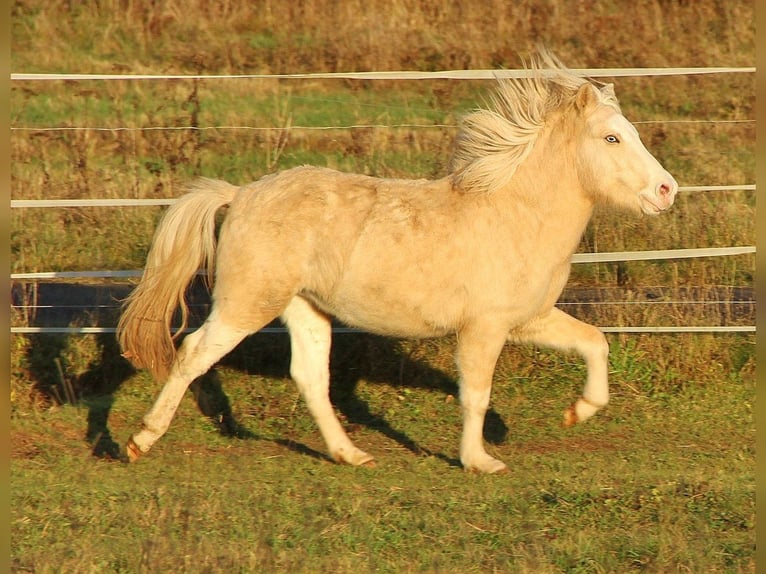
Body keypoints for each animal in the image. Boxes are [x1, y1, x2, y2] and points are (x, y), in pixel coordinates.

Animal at [117, 50, 677, 474]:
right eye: (612, 137)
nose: (666, 190)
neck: (514, 214)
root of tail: (239, 195)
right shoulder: (484, 328)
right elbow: (475, 393)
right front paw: (479, 461)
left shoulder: (526, 320)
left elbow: (594, 342)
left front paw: (578, 412)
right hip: (247, 304)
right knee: (193, 352)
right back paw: (139, 441)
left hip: (305, 308)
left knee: (310, 377)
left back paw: (350, 454)